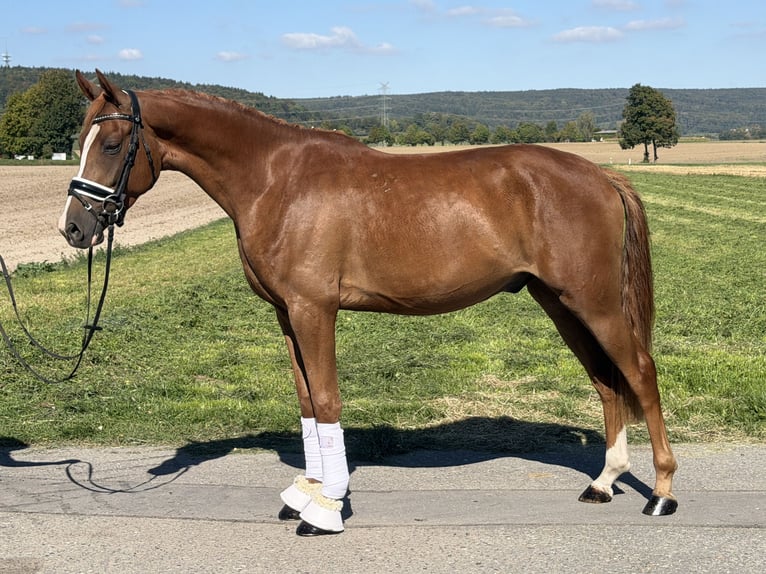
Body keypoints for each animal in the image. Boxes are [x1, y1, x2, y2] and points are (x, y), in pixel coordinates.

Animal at [59, 70, 678, 536]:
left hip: (595, 302)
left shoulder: (315, 310)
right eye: (80, 140)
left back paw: (662, 491)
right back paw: (604, 482)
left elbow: (329, 401)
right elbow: (307, 403)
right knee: (605, 380)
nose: (74, 228)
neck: (276, 179)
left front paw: (327, 507)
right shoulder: (286, 314)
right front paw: (306, 491)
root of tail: (600, 174)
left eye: (111, 144)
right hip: (559, 302)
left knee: (640, 373)